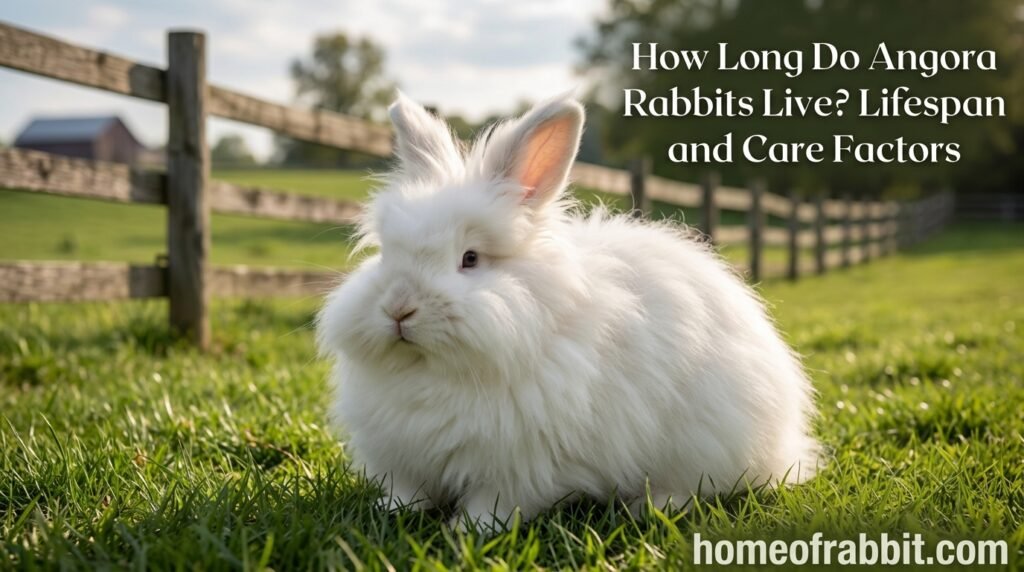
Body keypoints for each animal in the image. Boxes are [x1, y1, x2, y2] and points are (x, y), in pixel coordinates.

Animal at [316, 91, 820, 529]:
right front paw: (391, 510)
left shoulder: (521, 464)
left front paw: (470, 529)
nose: (399, 310)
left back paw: (648, 506)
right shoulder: (404, 456)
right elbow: (410, 491)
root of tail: (786, 444)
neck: (435, 372)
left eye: (470, 259)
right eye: (386, 254)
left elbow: (497, 500)